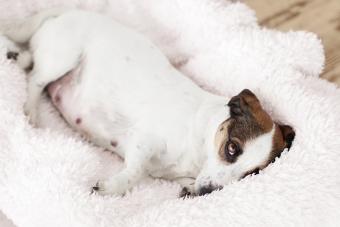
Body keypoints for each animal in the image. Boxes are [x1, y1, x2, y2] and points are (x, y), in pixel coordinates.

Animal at [1, 8, 294, 197]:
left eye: (251, 174)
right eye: (232, 148)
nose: (208, 192)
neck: (200, 140)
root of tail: (62, 13)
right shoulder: (143, 142)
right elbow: (135, 173)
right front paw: (112, 188)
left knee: (30, 61)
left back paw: (16, 55)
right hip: (63, 57)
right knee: (35, 80)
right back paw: (31, 110)